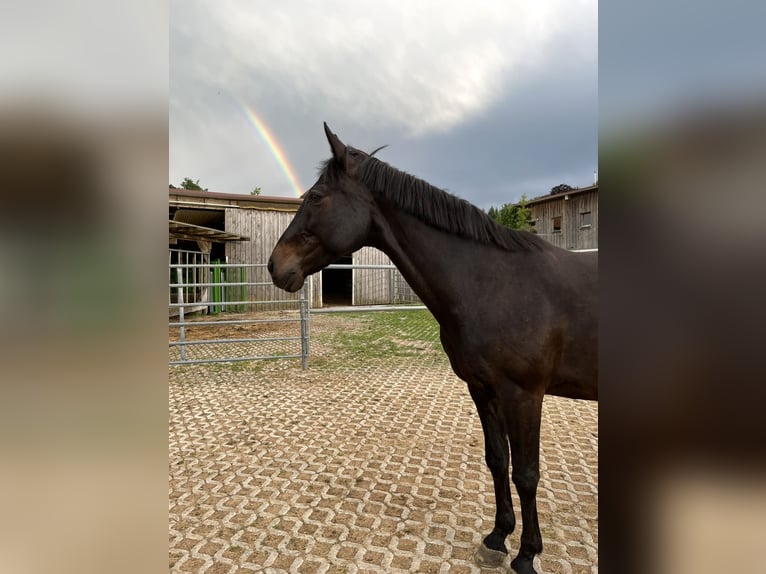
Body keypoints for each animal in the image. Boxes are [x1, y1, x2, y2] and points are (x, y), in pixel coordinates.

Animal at [270, 124, 600, 572]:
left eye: (317, 197)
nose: (275, 266)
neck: (493, 283)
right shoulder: (483, 390)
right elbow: (497, 460)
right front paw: (497, 537)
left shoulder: (524, 396)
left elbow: (527, 473)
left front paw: (527, 554)